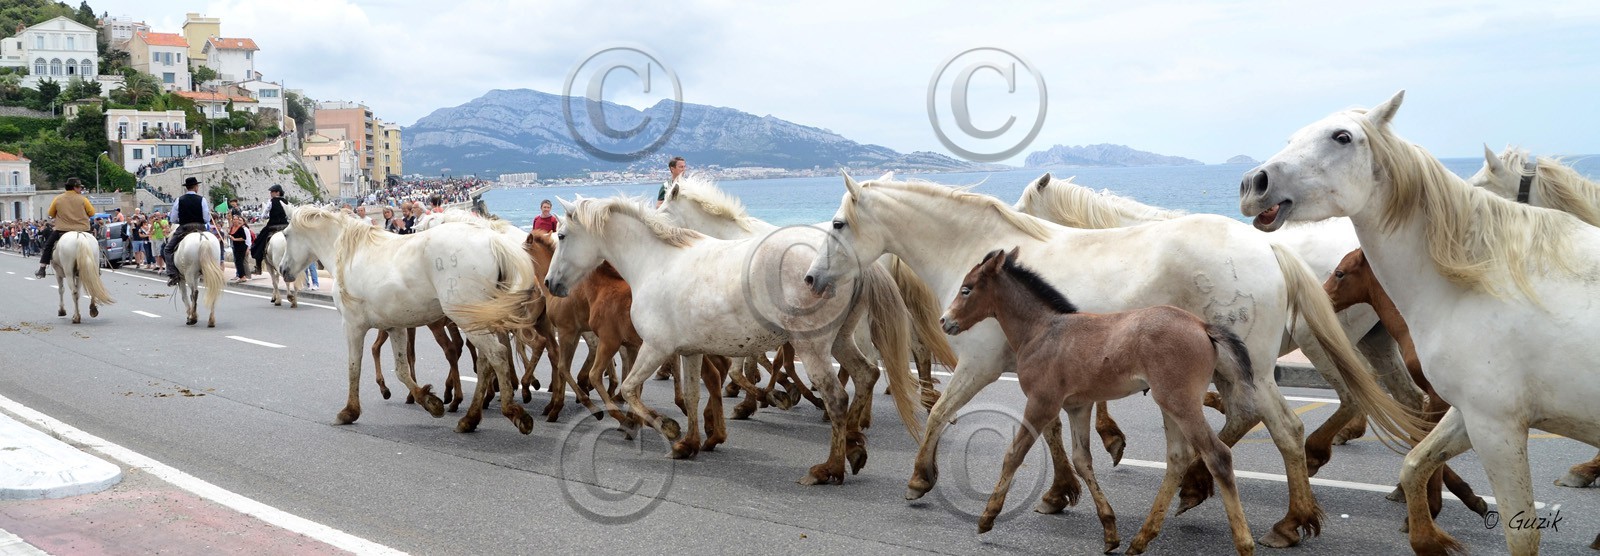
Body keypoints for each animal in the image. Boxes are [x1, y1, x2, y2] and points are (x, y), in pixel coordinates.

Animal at [276, 205, 546, 434]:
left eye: (286, 234)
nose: (282, 270)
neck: (351, 254)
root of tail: (493, 240)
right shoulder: (394, 327)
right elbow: (402, 370)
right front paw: (430, 402)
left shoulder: (352, 327)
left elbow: (354, 367)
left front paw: (349, 412)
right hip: (477, 322)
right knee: (485, 362)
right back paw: (470, 419)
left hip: (468, 321)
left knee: (497, 356)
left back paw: (513, 412)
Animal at [544, 196, 922, 485]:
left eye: (561, 235)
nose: (549, 283)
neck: (655, 263)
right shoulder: (689, 352)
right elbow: (692, 395)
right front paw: (689, 443)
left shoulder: (655, 349)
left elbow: (630, 390)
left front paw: (667, 428)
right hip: (841, 341)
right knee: (866, 375)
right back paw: (855, 446)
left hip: (813, 347)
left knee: (837, 398)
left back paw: (828, 469)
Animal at [942, 248, 1256, 555]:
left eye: (966, 289)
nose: (945, 321)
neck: (1041, 331)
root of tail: (1203, 326)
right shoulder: (1077, 406)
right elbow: (1082, 460)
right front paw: (1110, 531)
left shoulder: (1041, 402)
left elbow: (1014, 454)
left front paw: (987, 517)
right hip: (1169, 403)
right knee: (1177, 459)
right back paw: (1140, 540)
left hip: (1181, 403)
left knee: (1218, 455)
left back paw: (1244, 543)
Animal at [1013, 173, 1422, 469]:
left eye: (1023, 209)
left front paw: (1112, 437)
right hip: (1376, 339)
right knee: (1405, 395)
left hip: (1317, 339)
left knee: (1354, 395)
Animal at [1240, 90, 1600, 555]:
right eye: (1291, 138)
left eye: (1342, 137)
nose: (1254, 183)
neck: (1480, 282)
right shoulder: (1467, 413)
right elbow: (1415, 462)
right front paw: (1431, 534)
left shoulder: (1496, 425)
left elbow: (1521, 533)